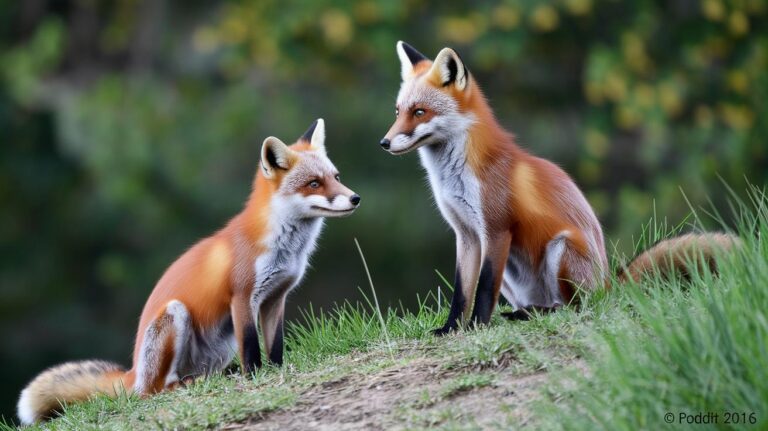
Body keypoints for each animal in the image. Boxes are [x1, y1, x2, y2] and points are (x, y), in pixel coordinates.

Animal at [17, 119, 361, 425]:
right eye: (314, 183)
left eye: (336, 176)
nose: (355, 198)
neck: (283, 248)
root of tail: (132, 373)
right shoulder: (242, 297)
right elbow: (252, 348)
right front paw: (255, 379)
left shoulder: (276, 297)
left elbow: (274, 345)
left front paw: (277, 372)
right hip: (175, 315)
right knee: (152, 391)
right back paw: (178, 387)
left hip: (221, 344)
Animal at [380, 41, 740, 334]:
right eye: (398, 111)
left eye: (420, 112)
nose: (384, 143)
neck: (455, 176)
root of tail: (609, 284)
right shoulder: (466, 235)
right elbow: (462, 292)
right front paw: (451, 329)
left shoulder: (495, 229)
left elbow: (482, 290)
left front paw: (476, 327)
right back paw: (526, 312)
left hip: (561, 247)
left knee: (575, 307)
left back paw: (540, 313)